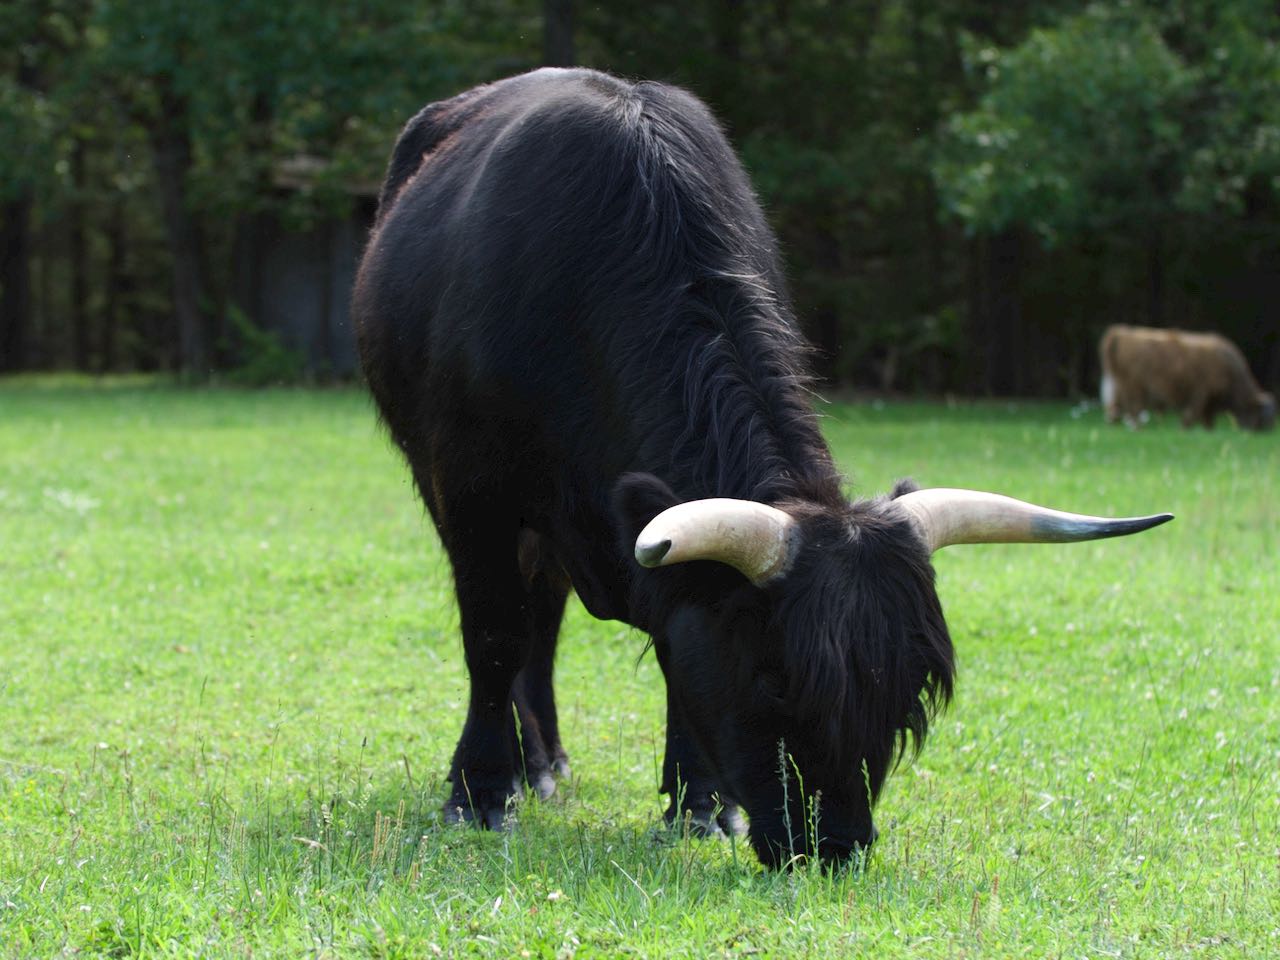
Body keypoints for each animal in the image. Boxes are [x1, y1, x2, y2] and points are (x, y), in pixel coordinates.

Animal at [350, 65, 1172, 865]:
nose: (834, 845)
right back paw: (526, 771)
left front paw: (697, 804)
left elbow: (672, 652)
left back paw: (548, 764)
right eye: (774, 681)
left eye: (910, 693)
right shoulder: (474, 498)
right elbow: (494, 637)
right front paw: (481, 792)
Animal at [1095, 327, 1274, 432]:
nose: (1268, 432)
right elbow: (1192, 415)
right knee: (1133, 410)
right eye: (1262, 417)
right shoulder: (1201, 394)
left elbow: (1207, 419)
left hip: (1119, 388)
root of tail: (1120, 333)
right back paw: (1138, 429)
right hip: (1134, 389)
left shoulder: (1208, 401)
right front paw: (1185, 429)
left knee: (1116, 411)